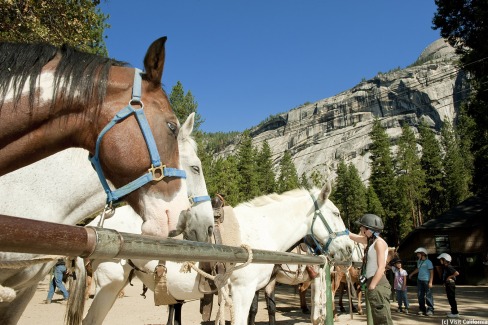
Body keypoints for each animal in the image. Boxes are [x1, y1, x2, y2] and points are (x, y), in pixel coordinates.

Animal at [83, 182, 350, 324]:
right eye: (336, 213)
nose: (348, 249)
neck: (259, 230)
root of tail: (99, 220)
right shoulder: (243, 291)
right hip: (109, 285)